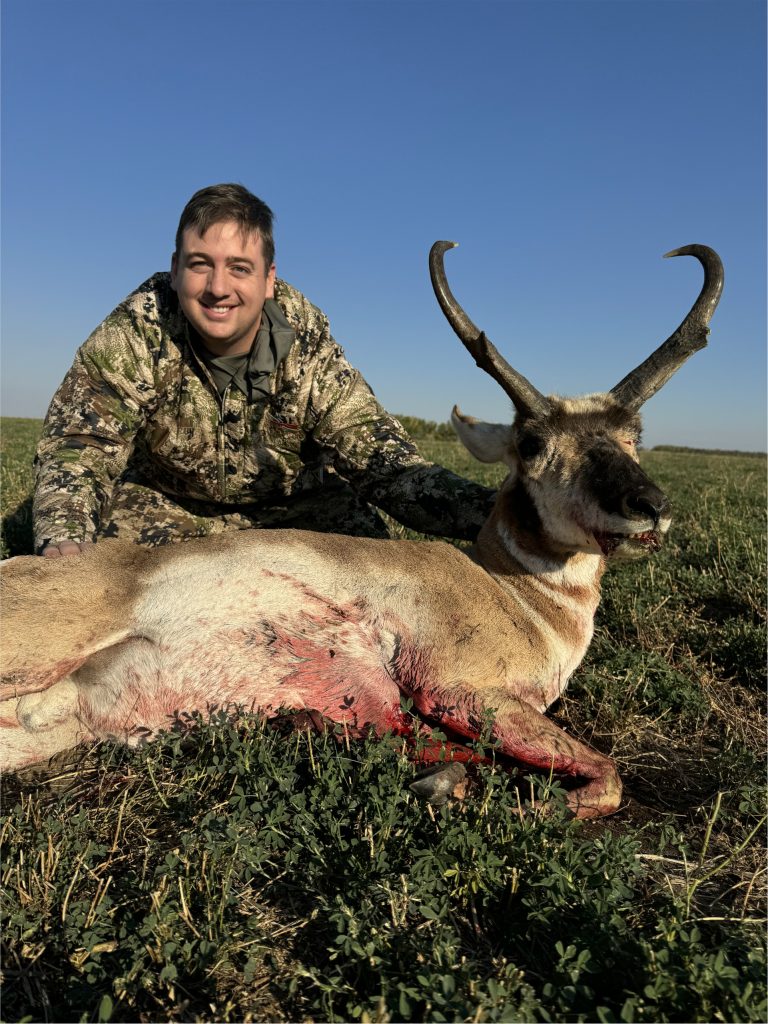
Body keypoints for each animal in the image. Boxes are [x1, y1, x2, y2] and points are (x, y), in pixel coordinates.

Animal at [0, 242, 723, 818]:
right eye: (533, 442)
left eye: (634, 435)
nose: (648, 504)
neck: (512, 592)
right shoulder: (462, 690)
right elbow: (609, 775)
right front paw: (528, 808)